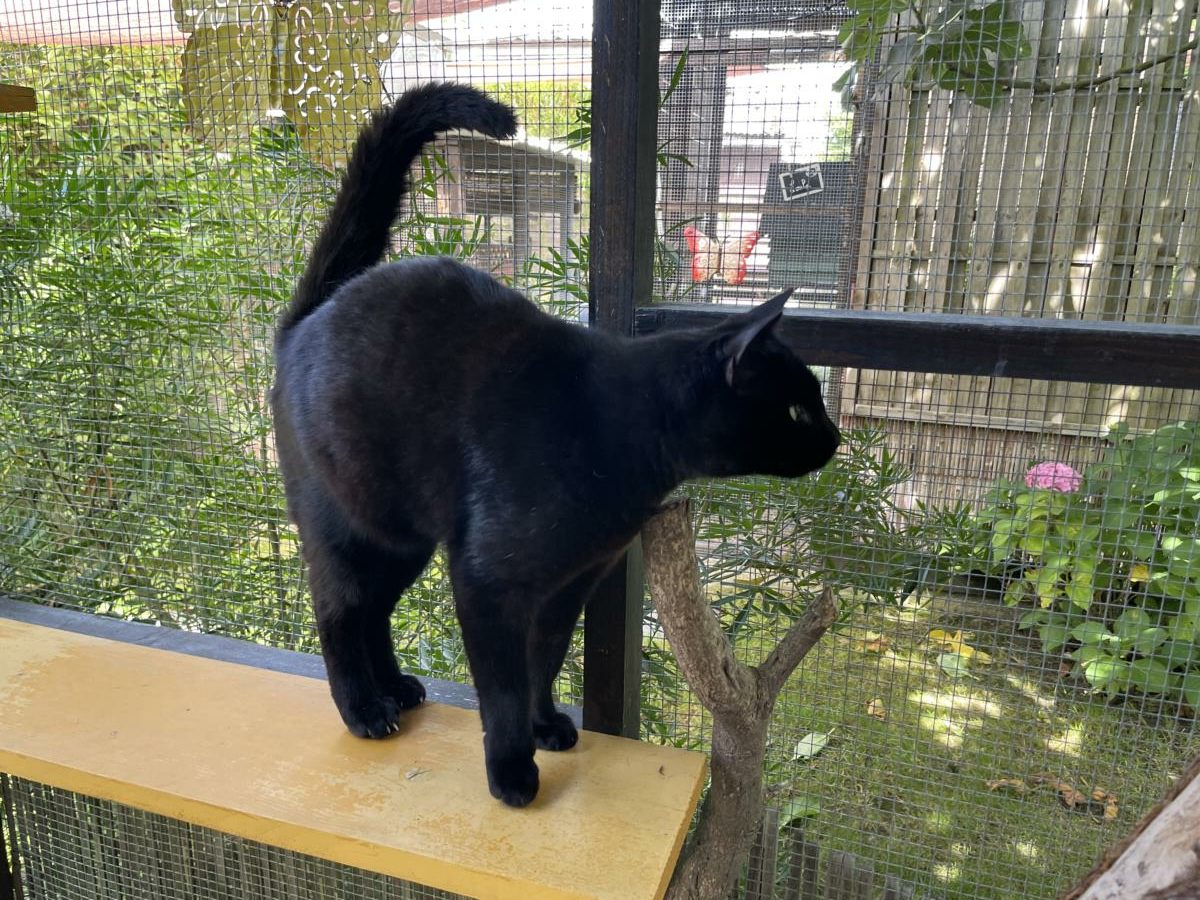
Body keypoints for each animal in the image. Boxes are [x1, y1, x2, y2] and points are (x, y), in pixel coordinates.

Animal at [271, 82, 841, 807]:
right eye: (797, 408)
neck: (620, 431)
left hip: (404, 541)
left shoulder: (573, 582)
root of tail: (304, 320)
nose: (835, 434)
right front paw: (512, 770)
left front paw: (545, 726)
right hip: (352, 526)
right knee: (340, 610)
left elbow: (544, 662)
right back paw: (364, 709)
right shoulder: (487, 581)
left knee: (374, 610)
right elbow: (504, 687)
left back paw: (396, 689)